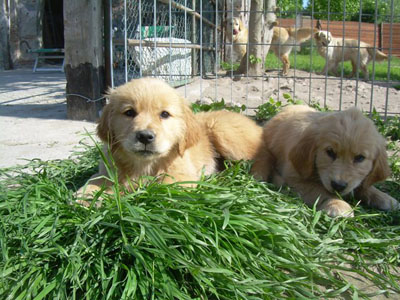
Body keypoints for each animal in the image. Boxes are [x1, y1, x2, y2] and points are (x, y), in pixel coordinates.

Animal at [76, 77, 264, 203]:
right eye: (129, 112)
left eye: (164, 114)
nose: (145, 136)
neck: (145, 165)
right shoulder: (107, 168)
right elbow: (96, 179)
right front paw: (88, 194)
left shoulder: (182, 177)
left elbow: (160, 186)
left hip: (224, 132)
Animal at [252, 104, 398, 217]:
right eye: (330, 152)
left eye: (360, 158)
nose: (338, 186)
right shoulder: (294, 179)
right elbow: (320, 191)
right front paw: (338, 204)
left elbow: (365, 186)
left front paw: (385, 198)